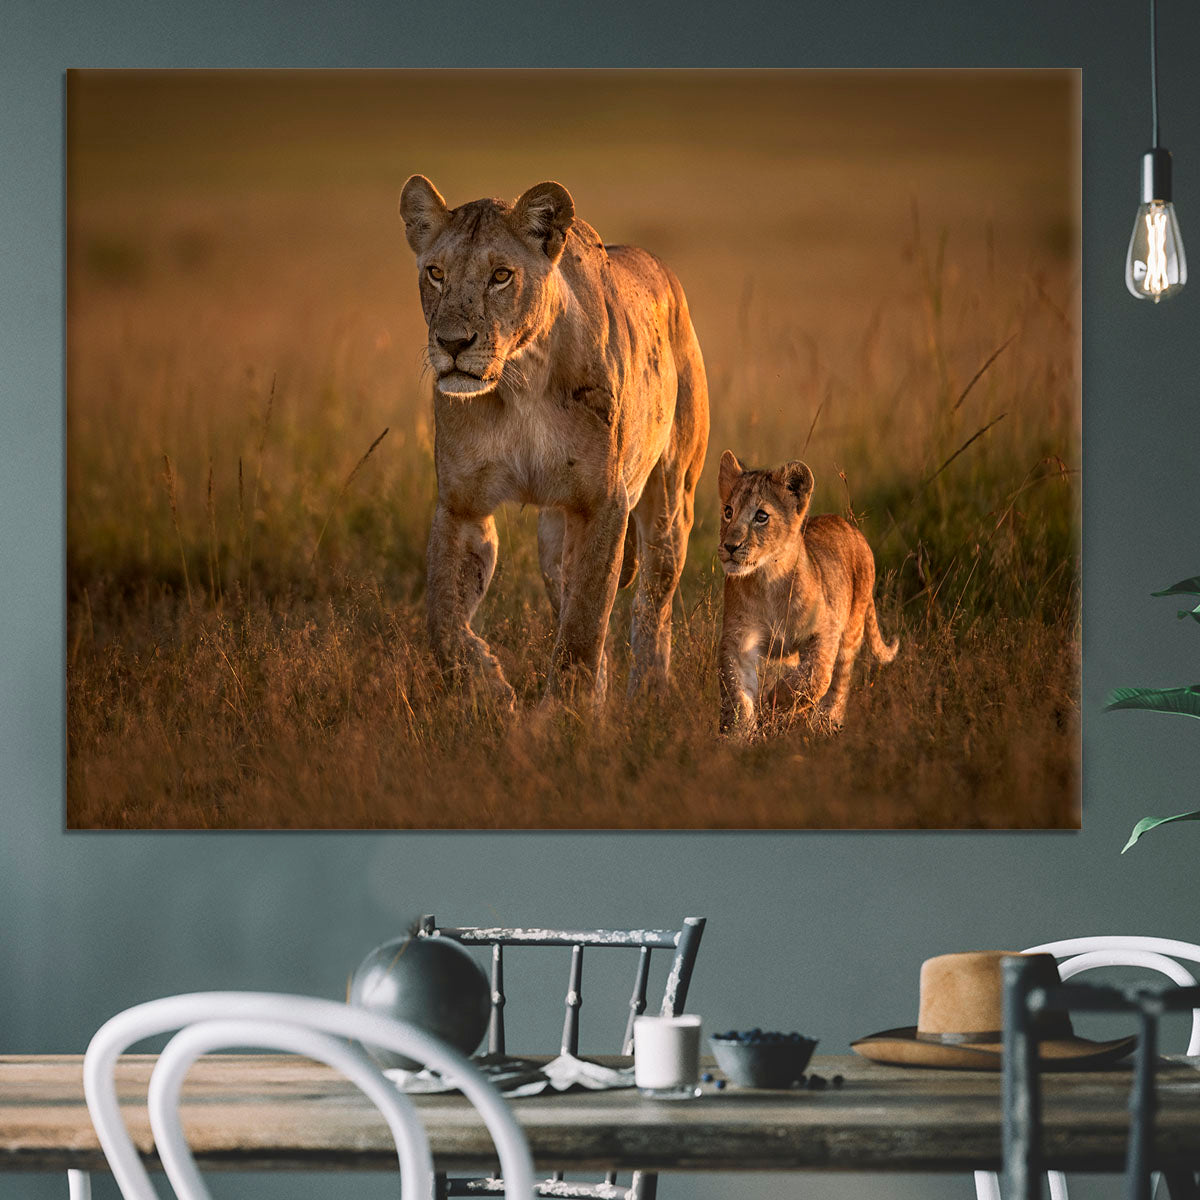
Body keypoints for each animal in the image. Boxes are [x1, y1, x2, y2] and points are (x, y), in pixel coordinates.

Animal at [399, 176, 709, 707]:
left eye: (501, 276)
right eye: (436, 273)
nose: (452, 343)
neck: (520, 381)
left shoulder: (603, 503)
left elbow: (585, 624)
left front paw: (565, 715)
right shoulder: (461, 505)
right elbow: (443, 622)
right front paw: (489, 689)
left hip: (670, 501)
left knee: (653, 603)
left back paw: (647, 696)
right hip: (553, 538)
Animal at [716, 450, 898, 735]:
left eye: (761, 516)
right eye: (728, 511)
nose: (730, 546)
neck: (768, 579)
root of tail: (849, 526)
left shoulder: (826, 629)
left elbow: (817, 675)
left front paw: (776, 699)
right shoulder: (739, 639)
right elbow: (737, 693)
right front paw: (738, 734)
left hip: (852, 628)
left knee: (839, 681)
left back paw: (827, 723)